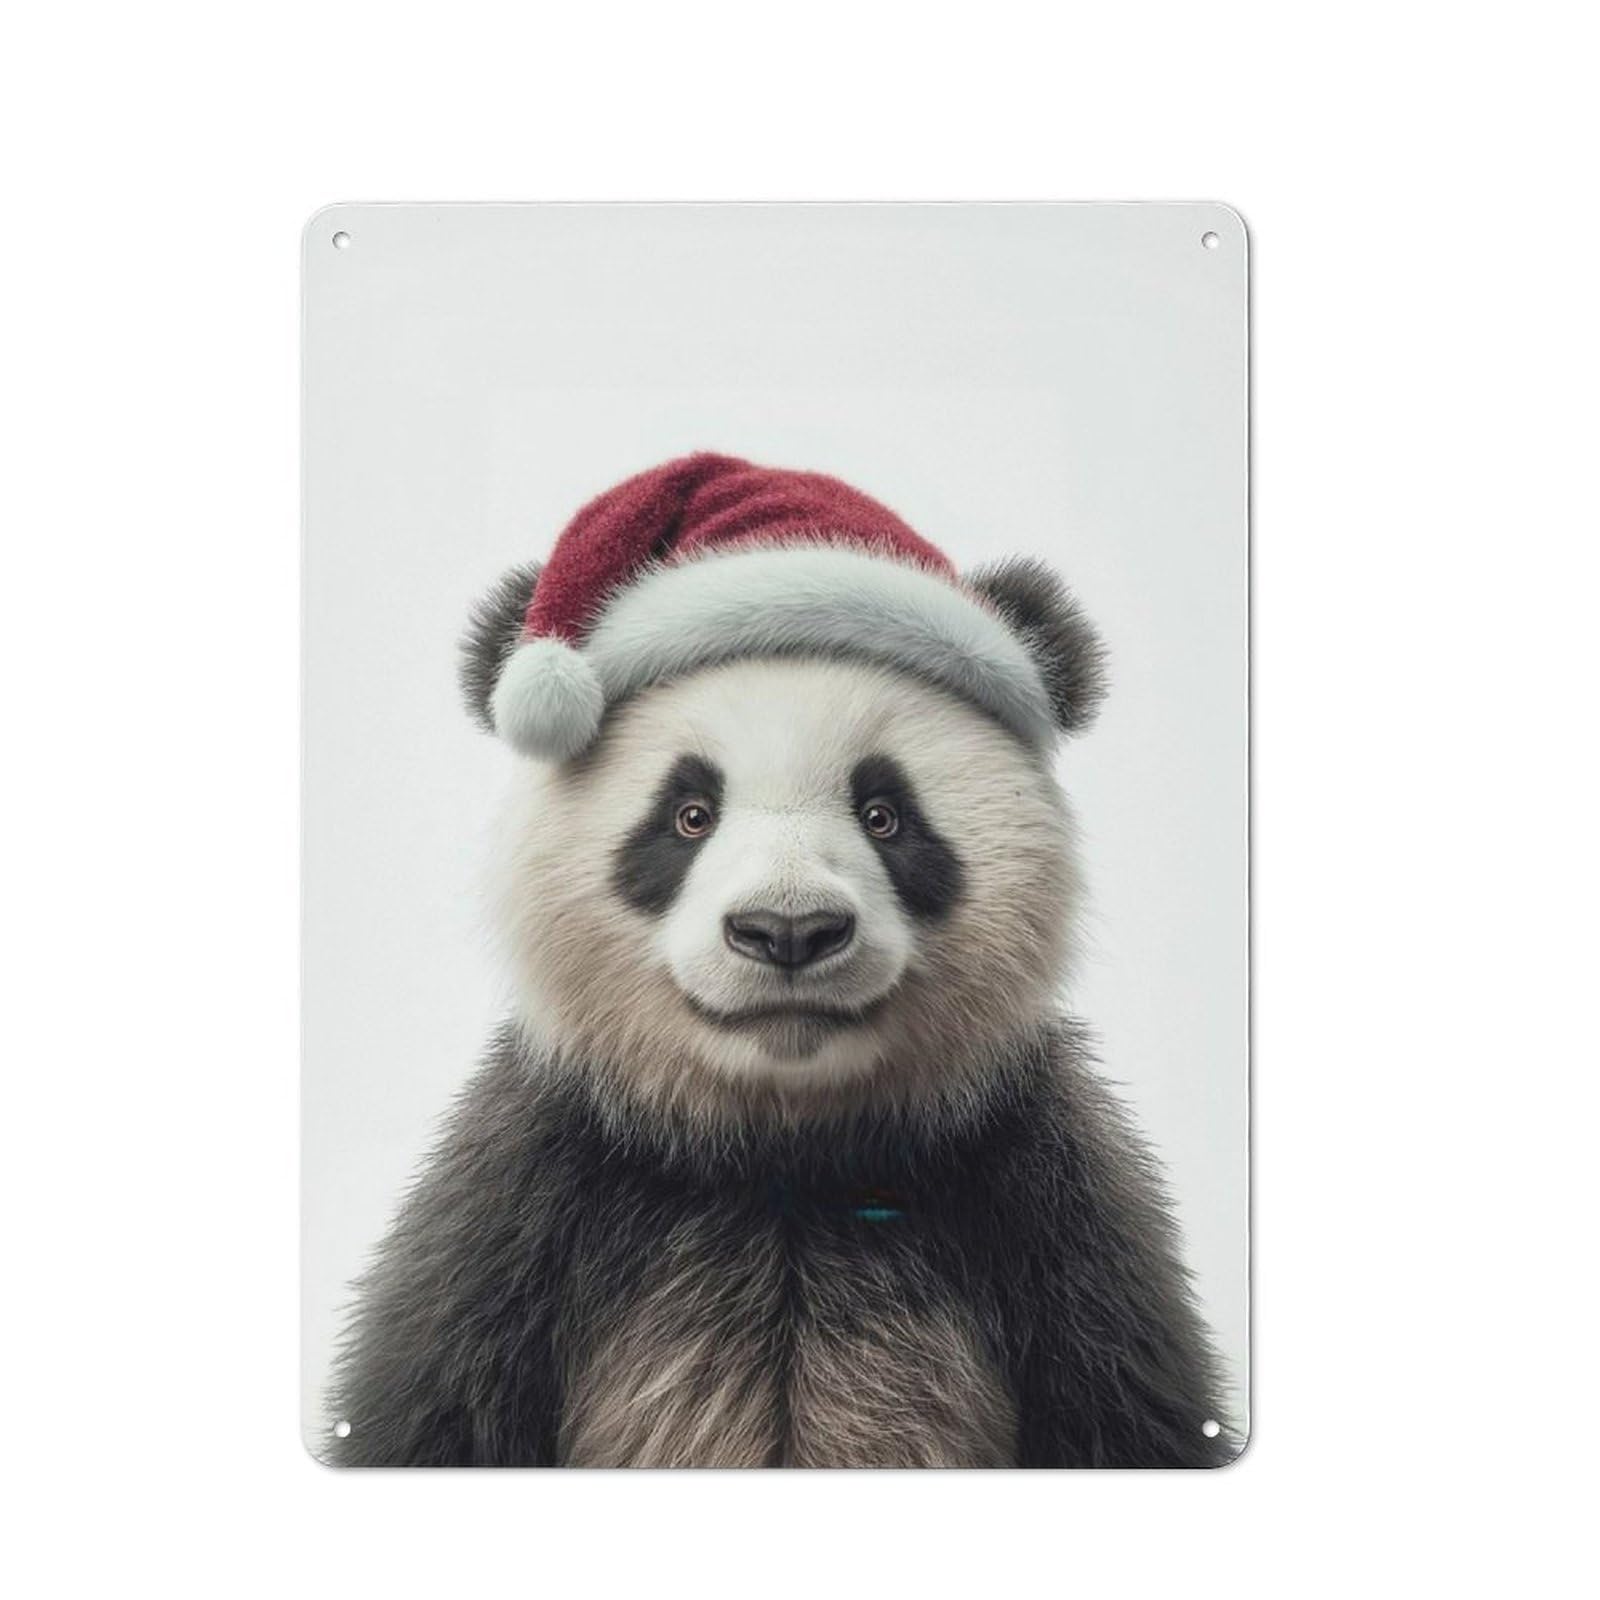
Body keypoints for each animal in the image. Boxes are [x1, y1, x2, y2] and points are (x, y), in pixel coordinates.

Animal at [328, 453, 1233, 1468]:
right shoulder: (523, 1201)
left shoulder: (1048, 1201)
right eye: (689, 813)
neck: (784, 1159)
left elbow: (1128, 1408)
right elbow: (432, 1408)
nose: (788, 931)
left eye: (885, 814)